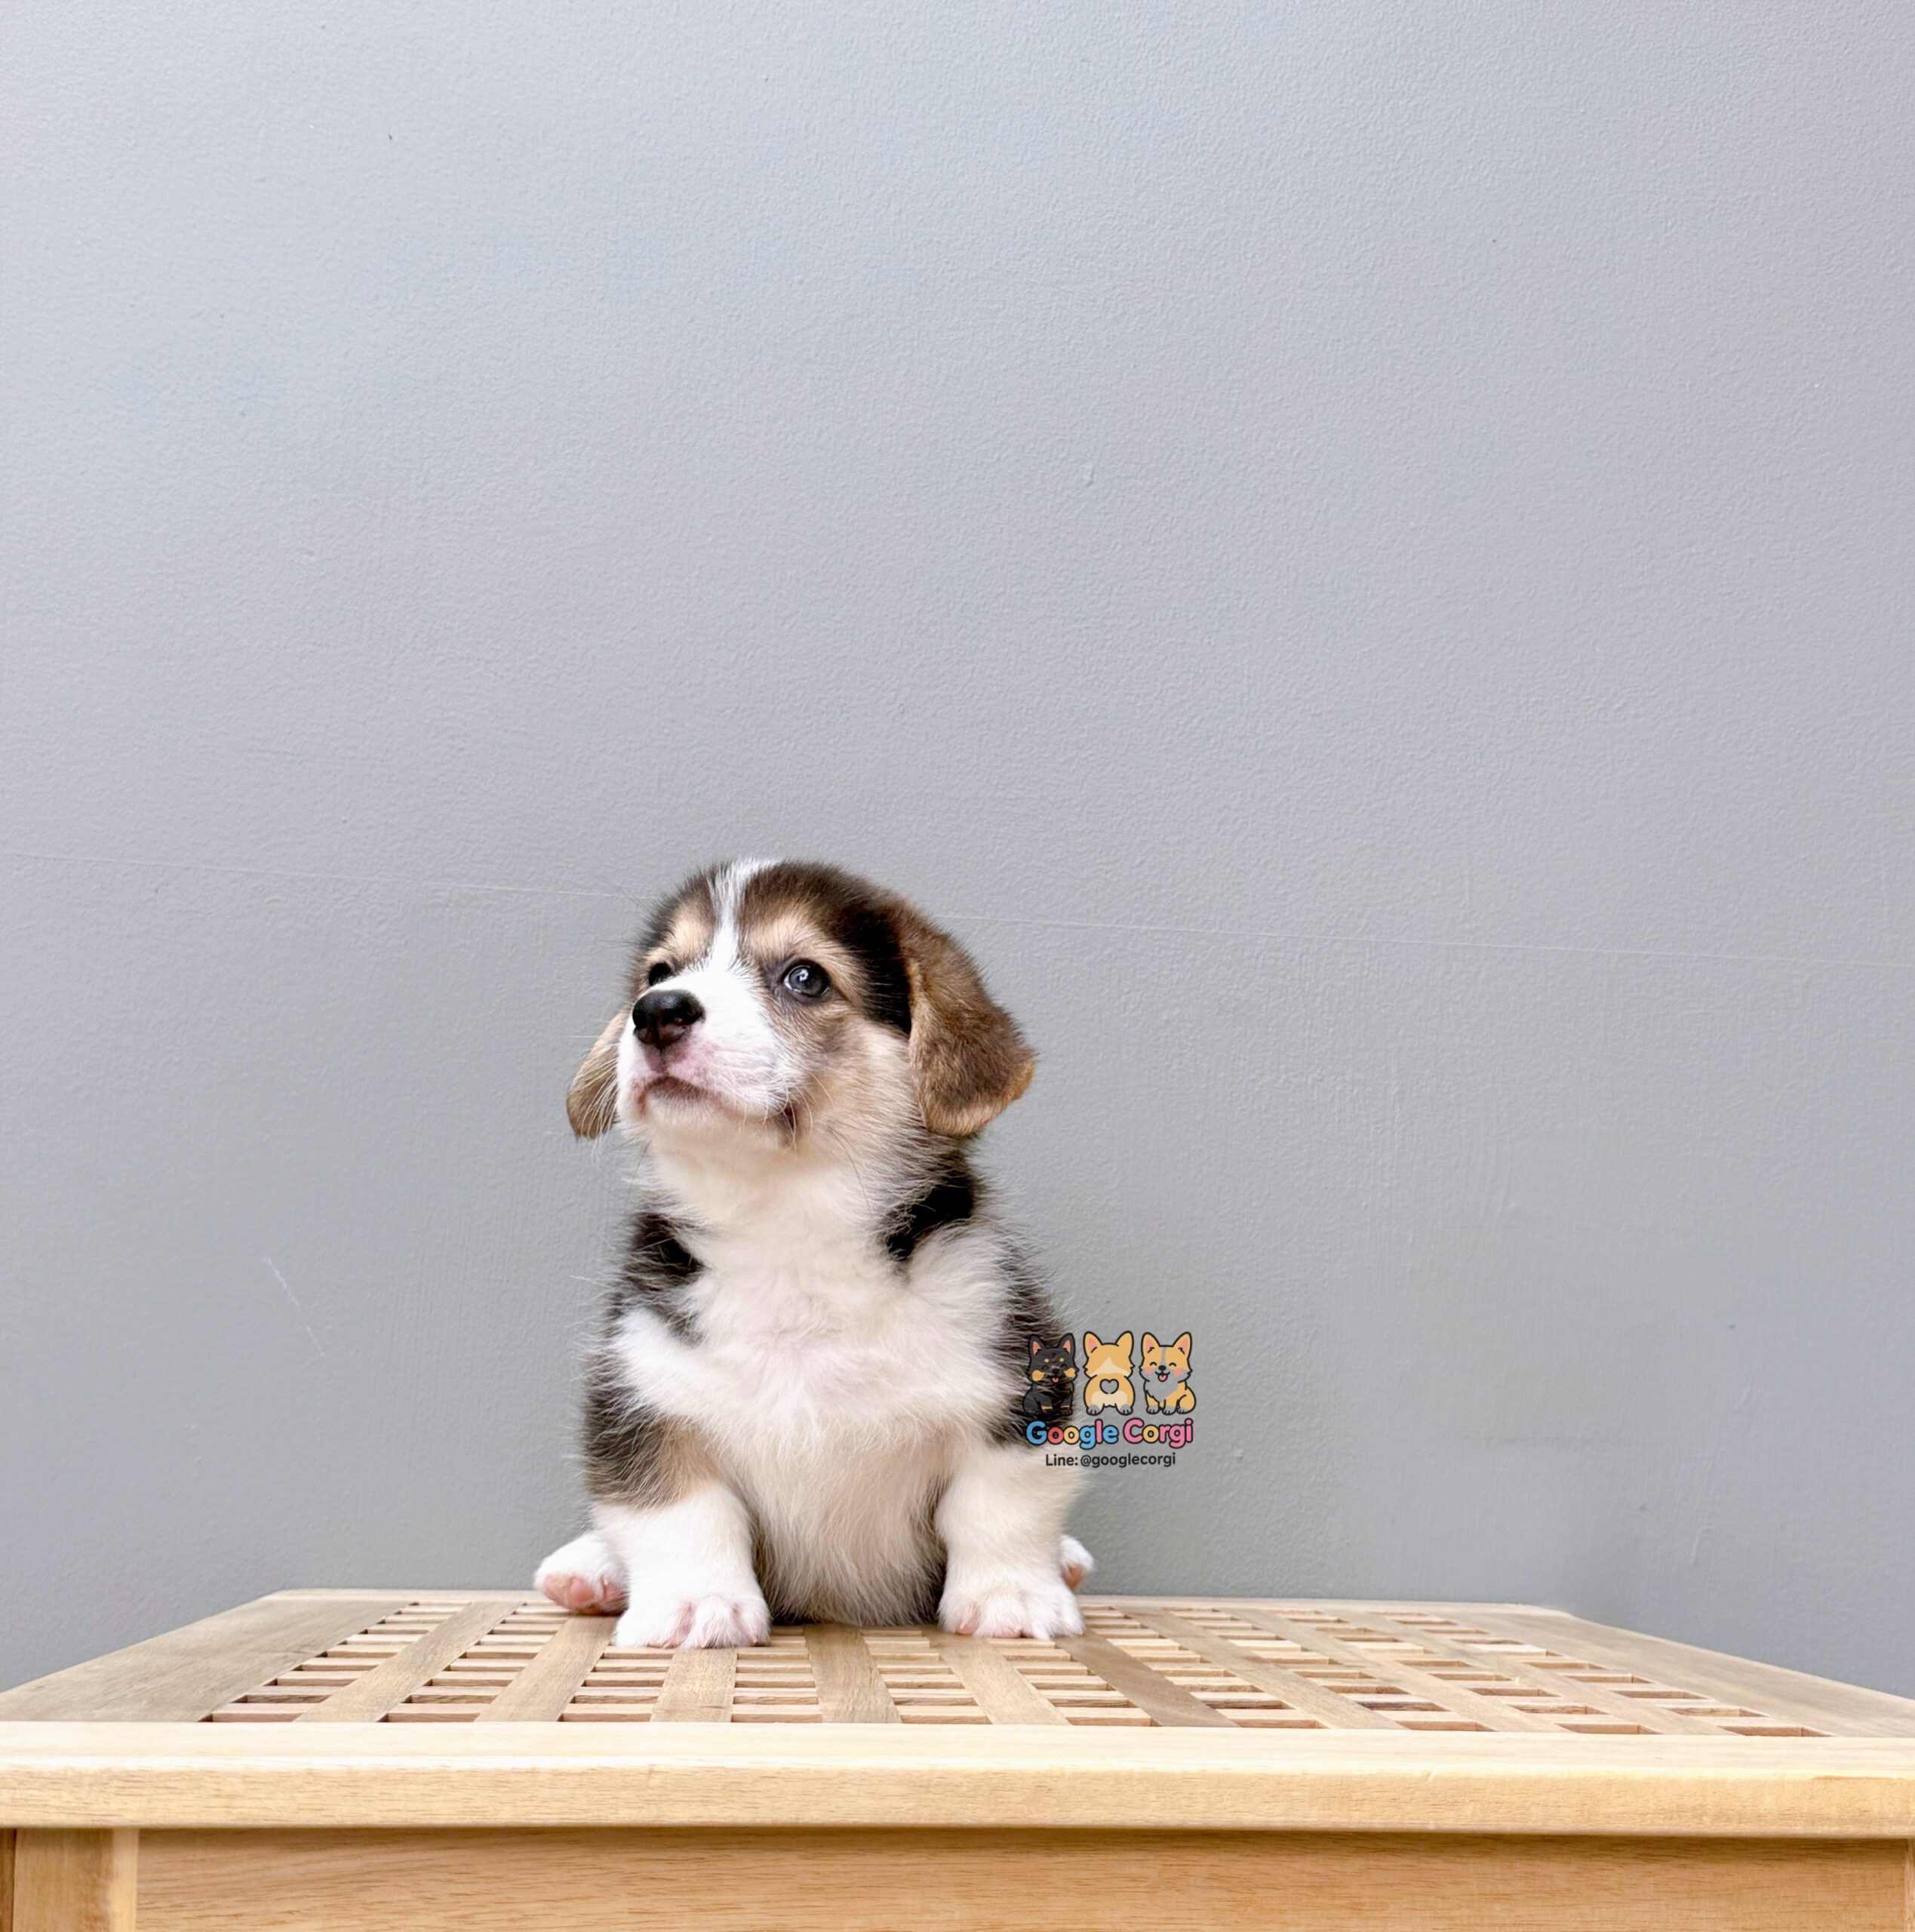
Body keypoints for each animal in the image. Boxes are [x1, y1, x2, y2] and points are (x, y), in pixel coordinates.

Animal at [535, 860, 1091, 1648]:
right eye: (660, 971)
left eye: (805, 977)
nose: (656, 1012)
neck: (786, 1224)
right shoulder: (644, 1396)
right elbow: (679, 1514)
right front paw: (695, 1607)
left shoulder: (1015, 1391)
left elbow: (1000, 1507)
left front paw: (1011, 1598)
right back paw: (590, 1570)